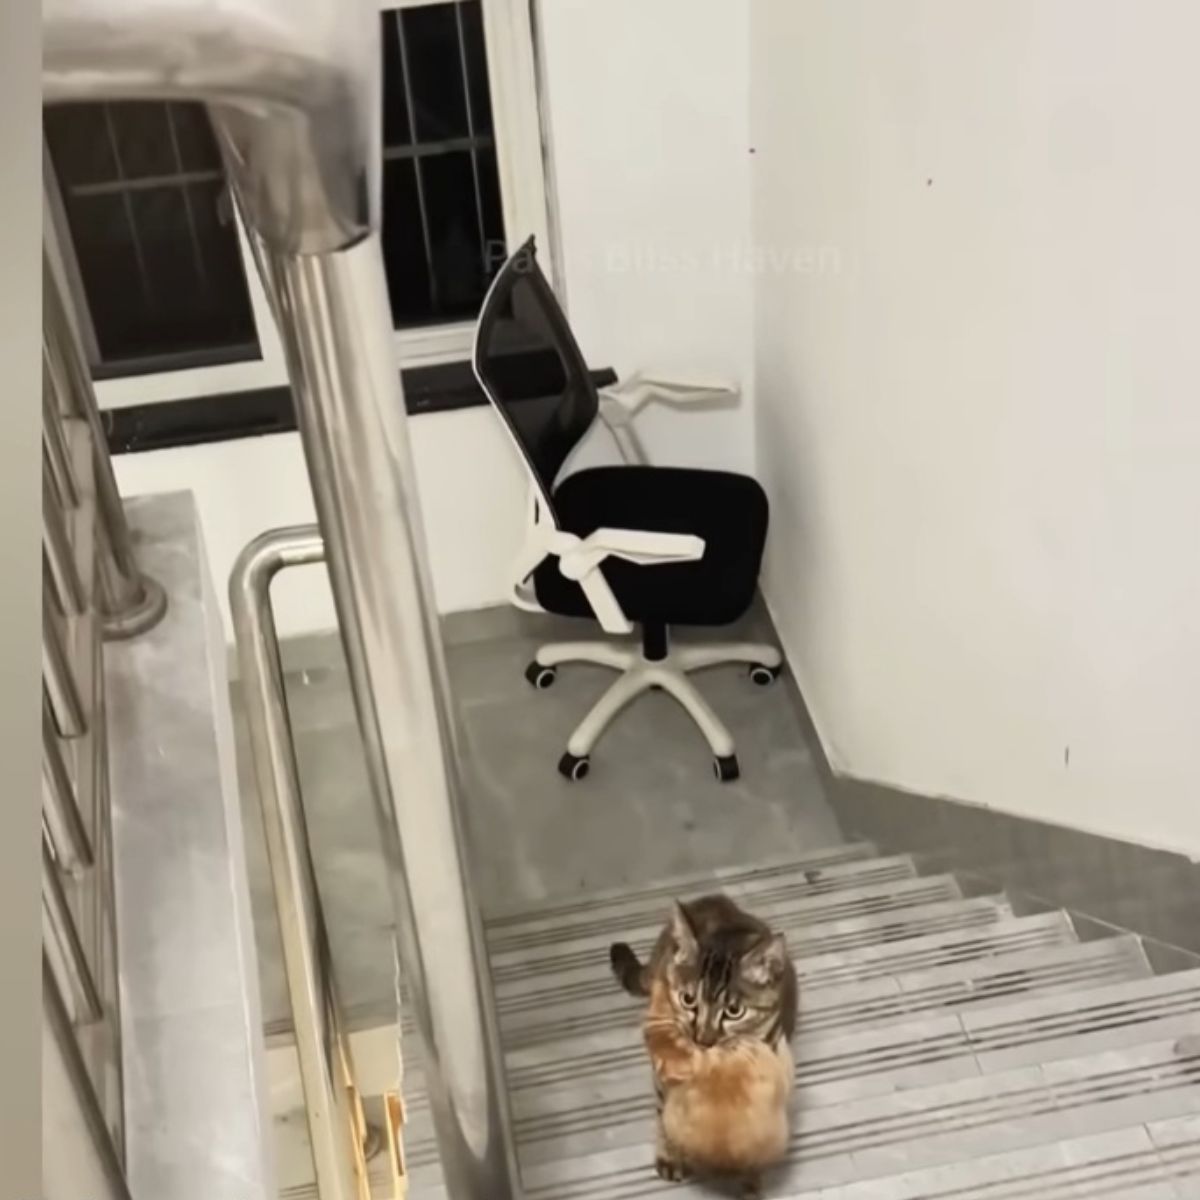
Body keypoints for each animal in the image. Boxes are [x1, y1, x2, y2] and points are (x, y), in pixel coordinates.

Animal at [609, 897, 796, 1195]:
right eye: (688, 999)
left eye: (734, 1011)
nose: (703, 1039)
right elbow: (664, 1114)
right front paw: (671, 1154)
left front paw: (750, 1174)